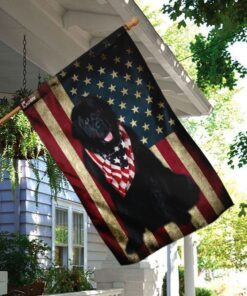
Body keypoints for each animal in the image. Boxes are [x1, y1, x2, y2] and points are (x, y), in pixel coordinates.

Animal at [71, 96, 199, 253]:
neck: (114, 151)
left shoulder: (150, 175)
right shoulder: (116, 195)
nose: (98, 123)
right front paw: (135, 242)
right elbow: (130, 223)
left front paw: (180, 217)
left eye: (98, 110)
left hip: (184, 181)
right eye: (85, 122)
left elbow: (162, 200)